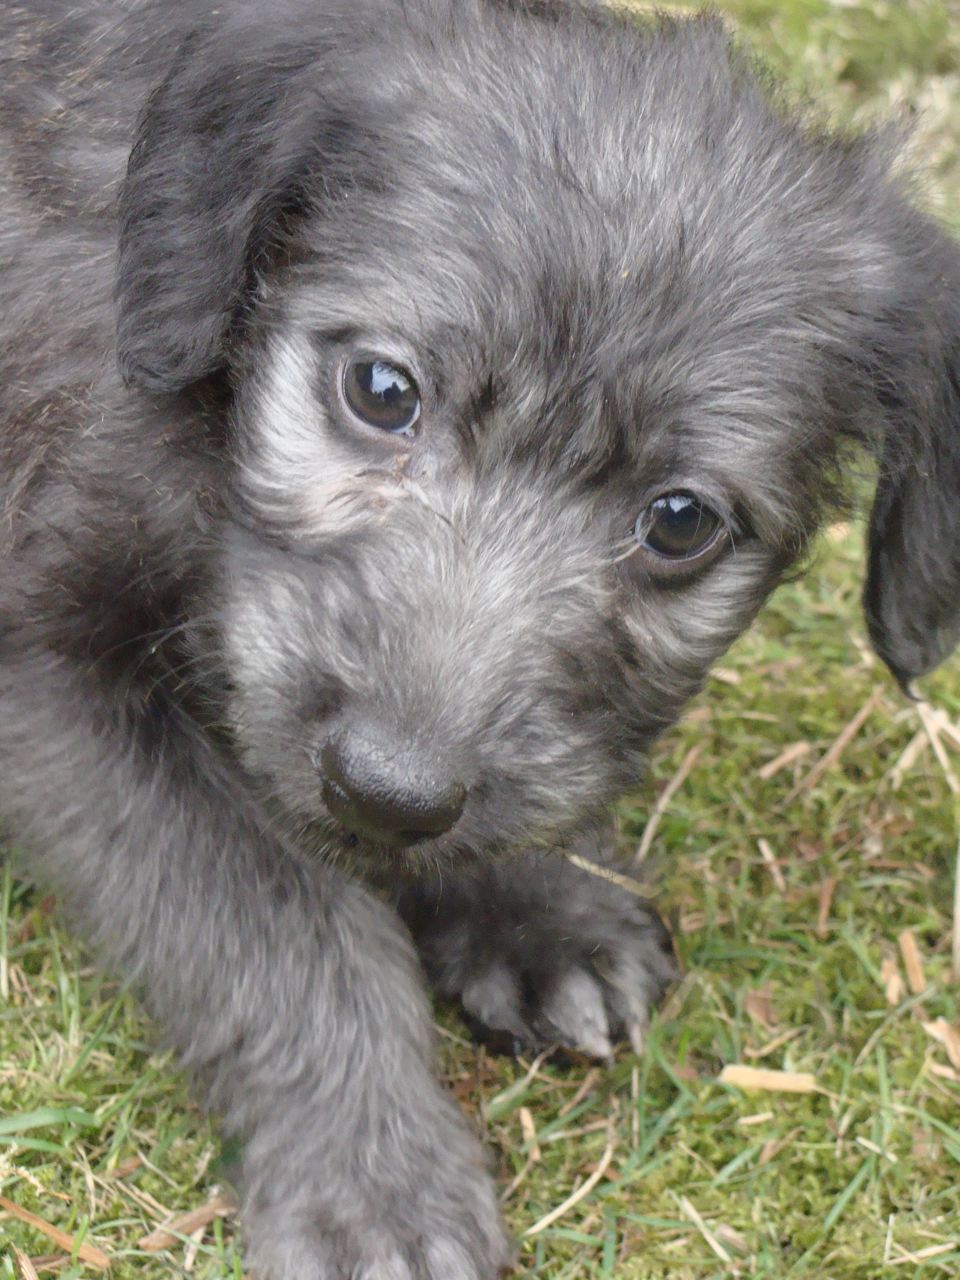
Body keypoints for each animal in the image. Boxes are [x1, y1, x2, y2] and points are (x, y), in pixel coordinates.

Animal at [0, 2, 957, 1280]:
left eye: (680, 521)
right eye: (381, 388)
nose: (387, 788)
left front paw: (538, 902)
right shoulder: (43, 658)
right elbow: (271, 910)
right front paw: (373, 1170)